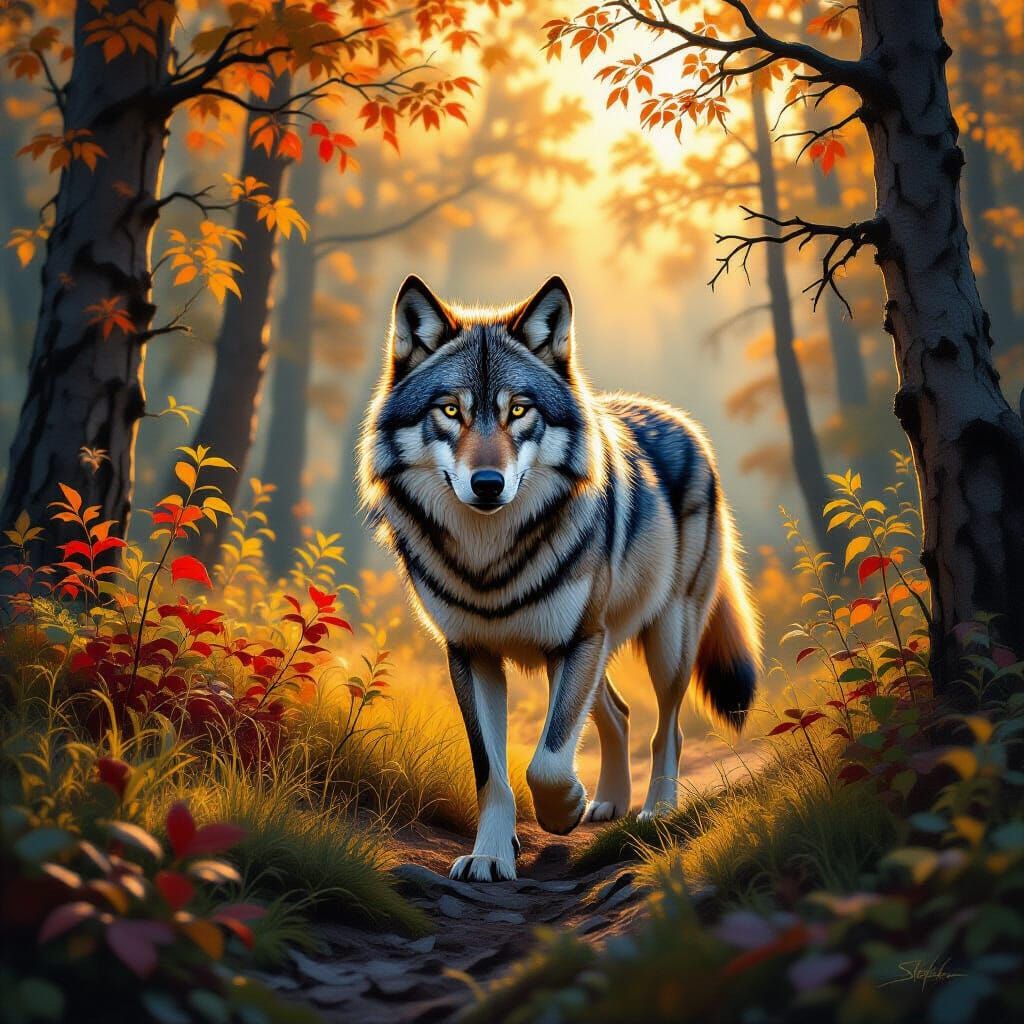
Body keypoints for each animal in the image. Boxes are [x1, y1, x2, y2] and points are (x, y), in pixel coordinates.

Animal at [358, 275, 762, 882]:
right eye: (450, 410)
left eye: (519, 410)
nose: (487, 483)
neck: (490, 559)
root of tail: (679, 419)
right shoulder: (471, 653)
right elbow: (492, 773)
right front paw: (490, 855)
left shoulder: (576, 642)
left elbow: (546, 762)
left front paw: (564, 808)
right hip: (586, 654)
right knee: (618, 715)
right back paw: (610, 802)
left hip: (662, 640)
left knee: (667, 726)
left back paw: (656, 811)